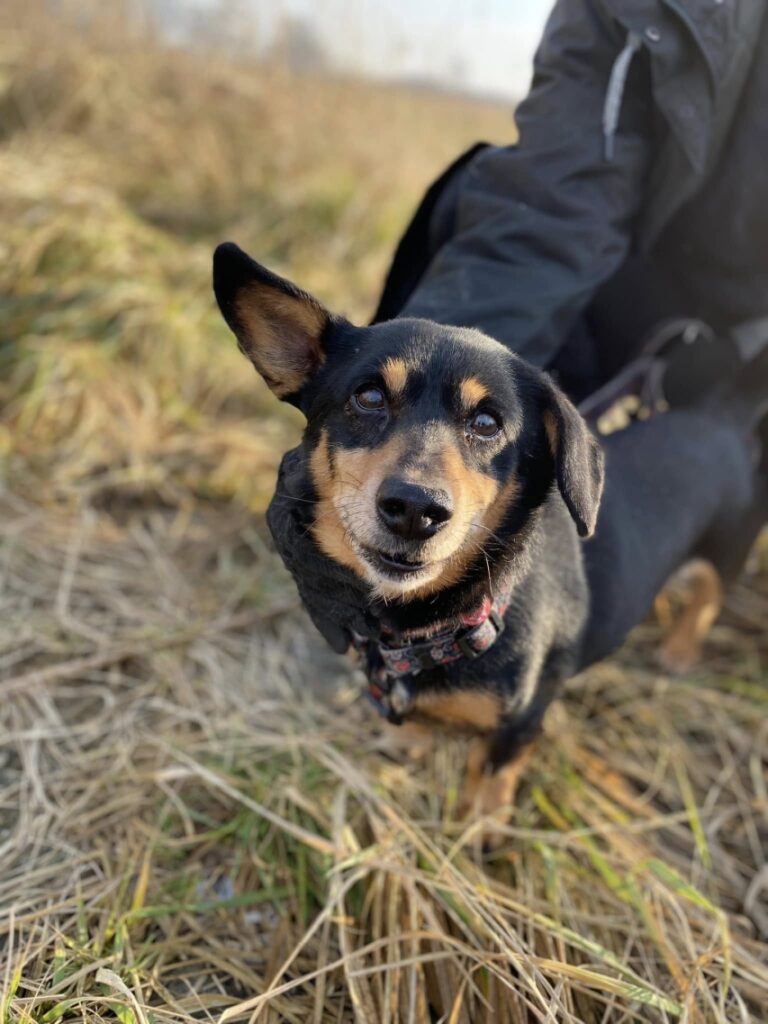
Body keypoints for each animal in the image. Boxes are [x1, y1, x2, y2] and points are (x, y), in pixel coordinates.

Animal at [211, 243, 768, 835]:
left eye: (486, 422)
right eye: (368, 397)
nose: (416, 509)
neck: (440, 625)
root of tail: (722, 414)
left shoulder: (522, 720)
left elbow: (490, 769)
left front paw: (480, 825)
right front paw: (403, 748)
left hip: (729, 551)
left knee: (708, 599)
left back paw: (680, 650)